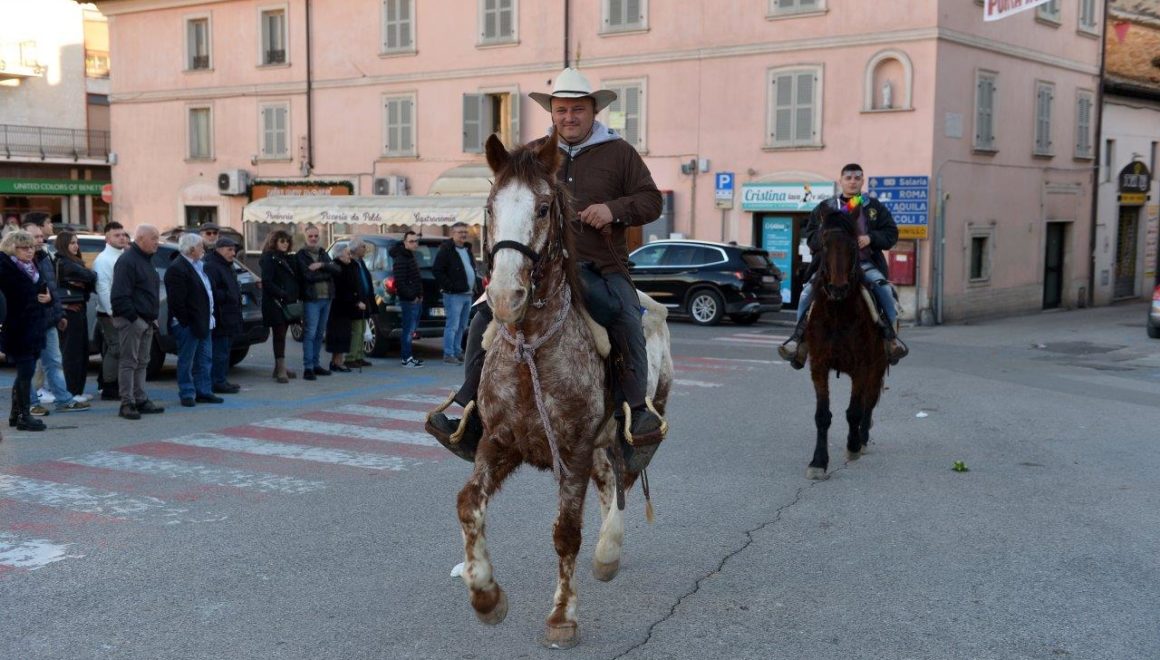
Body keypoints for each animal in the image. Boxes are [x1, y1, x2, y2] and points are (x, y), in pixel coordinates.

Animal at [455, 132, 673, 649]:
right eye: (490, 207)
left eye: (542, 208)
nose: (503, 297)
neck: (531, 348)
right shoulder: (498, 442)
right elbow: (469, 504)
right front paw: (486, 596)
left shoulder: (572, 448)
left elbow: (566, 533)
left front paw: (562, 616)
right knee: (610, 478)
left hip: (635, 425)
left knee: (624, 478)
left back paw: (608, 551)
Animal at [803, 210, 889, 480]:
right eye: (823, 244)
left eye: (853, 246)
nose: (837, 288)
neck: (838, 314)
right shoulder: (818, 366)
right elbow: (822, 416)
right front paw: (818, 461)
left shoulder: (862, 366)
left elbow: (854, 411)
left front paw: (853, 446)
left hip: (877, 366)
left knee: (868, 402)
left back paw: (862, 438)